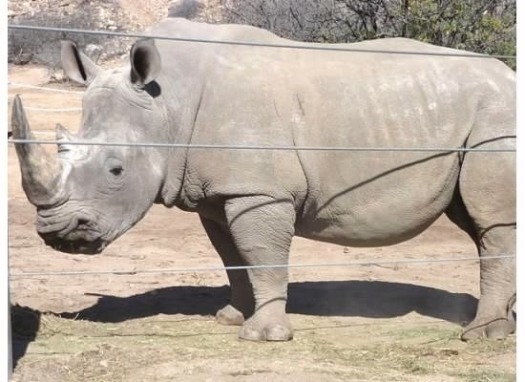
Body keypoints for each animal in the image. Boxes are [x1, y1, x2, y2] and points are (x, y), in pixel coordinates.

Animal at [10, 17, 512, 342]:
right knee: (479, 222)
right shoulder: (215, 194)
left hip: (496, 119)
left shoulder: (259, 191)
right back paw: (504, 324)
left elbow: (263, 256)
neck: (167, 103)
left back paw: (481, 336)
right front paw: (230, 319)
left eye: (116, 170)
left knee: (491, 223)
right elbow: (232, 257)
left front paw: (264, 336)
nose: (57, 235)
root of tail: (509, 75)